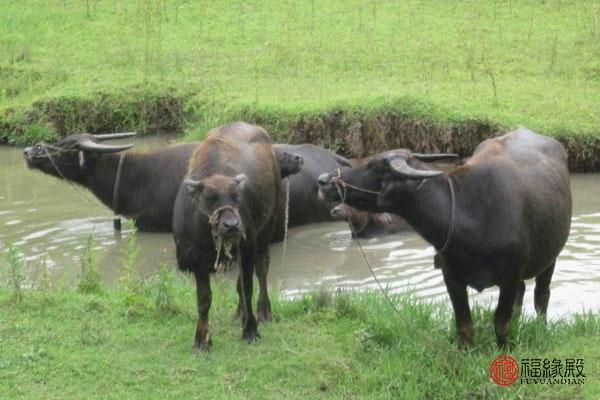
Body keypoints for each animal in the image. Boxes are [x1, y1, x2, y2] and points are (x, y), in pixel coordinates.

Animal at [173, 122, 284, 350]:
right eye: (210, 197)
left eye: (235, 196)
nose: (232, 225)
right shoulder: (195, 259)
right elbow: (204, 298)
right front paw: (202, 339)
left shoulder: (248, 247)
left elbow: (248, 287)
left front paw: (250, 330)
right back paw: (240, 313)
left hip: (268, 226)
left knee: (262, 267)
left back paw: (263, 311)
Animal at [318, 128, 572, 346]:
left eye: (373, 166)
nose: (323, 180)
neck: (470, 214)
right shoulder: (451, 276)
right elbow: (465, 326)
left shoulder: (511, 273)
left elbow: (501, 322)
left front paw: (505, 350)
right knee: (522, 295)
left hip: (549, 259)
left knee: (541, 296)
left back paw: (541, 328)